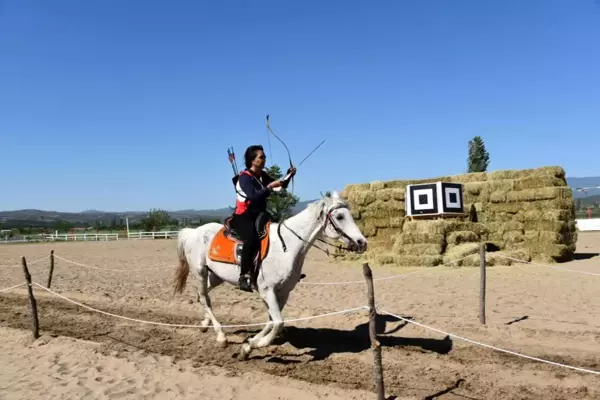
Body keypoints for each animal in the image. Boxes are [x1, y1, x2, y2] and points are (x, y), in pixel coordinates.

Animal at [172, 190, 366, 360]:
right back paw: (221, 336)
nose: (362, 242)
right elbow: (278, 322)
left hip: (216, 277)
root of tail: (193, 231)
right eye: (340, 217)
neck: (287, 246)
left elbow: (272, 321)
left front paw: (248, 346)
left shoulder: (283, 292)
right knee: (205, 298)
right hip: (200, 272)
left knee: (201, 295)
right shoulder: (267, 290)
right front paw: (256, 344)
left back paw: (205, 325)